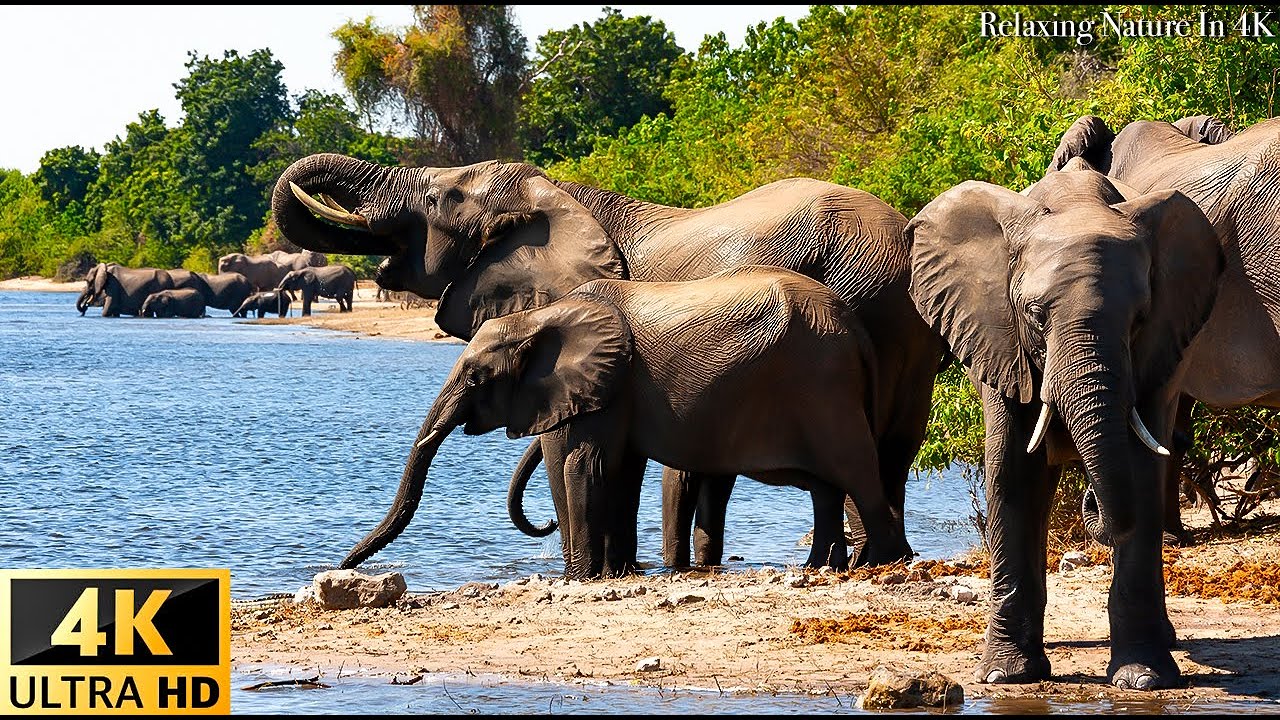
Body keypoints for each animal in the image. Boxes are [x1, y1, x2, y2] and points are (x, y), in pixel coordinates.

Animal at [339, 266, 907, 578]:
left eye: (476, 376)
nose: (337, 565)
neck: (540, 319)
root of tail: (855, 329)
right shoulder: (616, 391)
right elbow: (621, 472)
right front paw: (610, 574)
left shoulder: (609, 384)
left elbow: (584, 465)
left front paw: (580, 579)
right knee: (828, 485)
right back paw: (823, 567)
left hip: (824, 383)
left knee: (855, 469)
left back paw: (885, 564)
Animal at [907, 167, 1224, 690]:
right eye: (1035, 315)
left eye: (1140, 319)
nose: (1090, 501)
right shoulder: (1000, 339)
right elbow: (1013, 474)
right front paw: (1005, 676)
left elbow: (1139, 473)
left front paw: (1144, 680)